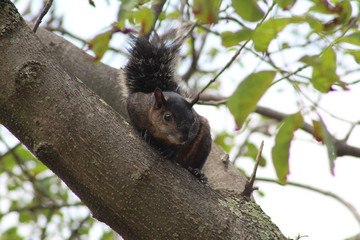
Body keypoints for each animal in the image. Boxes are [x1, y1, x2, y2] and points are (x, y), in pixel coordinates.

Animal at [123, 31, 211, 182]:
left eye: (193, 119)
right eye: (167, 117)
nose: (183, 137)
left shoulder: (195, 130)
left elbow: (183, 145)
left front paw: (170, 151)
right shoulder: (136, 103)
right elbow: (133, 119)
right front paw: (144, 131)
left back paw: (197, 172)